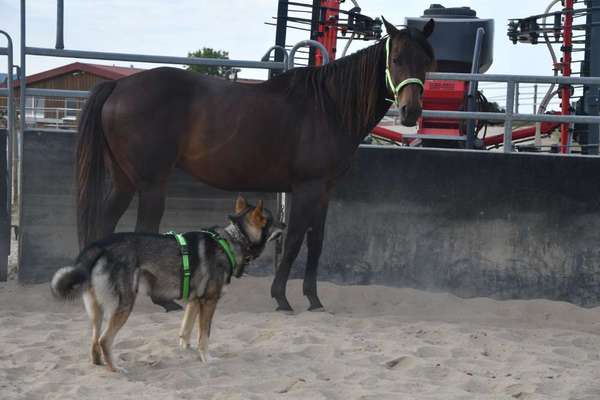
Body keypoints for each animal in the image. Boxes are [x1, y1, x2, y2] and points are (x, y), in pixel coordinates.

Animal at [49, 196, 284, 372]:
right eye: (272, 219)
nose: (285, 222)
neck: (233, 239)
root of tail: (100, 244)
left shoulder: (194, 301)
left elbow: (186, 331)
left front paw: (187, 351)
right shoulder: (209, 302)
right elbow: (205, 336)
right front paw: (207, 359)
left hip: (96, 312)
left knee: (94, 342)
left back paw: (100, 364)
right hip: (124, 305)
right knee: (104, 340)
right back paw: (116, 369)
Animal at [75, 18, 436, 312]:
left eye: (427, 61)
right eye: (396, 59)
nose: (410, 112)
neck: (328, 106)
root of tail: (119, 85)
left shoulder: (324, 191)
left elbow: (316, 241)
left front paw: (314, 299)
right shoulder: (306, 188)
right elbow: (294, 240)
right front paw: (282, 297)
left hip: (124, 180)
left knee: (106, 221)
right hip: (151, 183)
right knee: (144, 229)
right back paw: (164, 302)